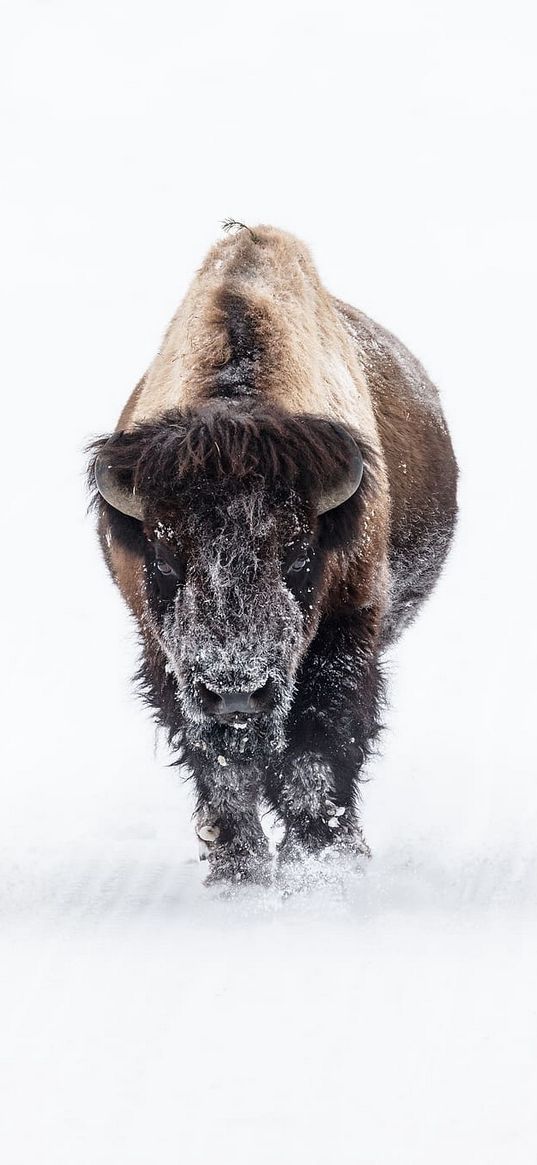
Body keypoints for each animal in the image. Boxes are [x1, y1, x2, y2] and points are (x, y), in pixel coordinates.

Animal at [87, 222, 456, 880]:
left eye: (299, 554)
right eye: (165, 559)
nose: (236, 691)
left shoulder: (345, 633)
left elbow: (317, 751)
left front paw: (319, 863)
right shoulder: (166, 657)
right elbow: (223, 770)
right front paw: (239, 870)